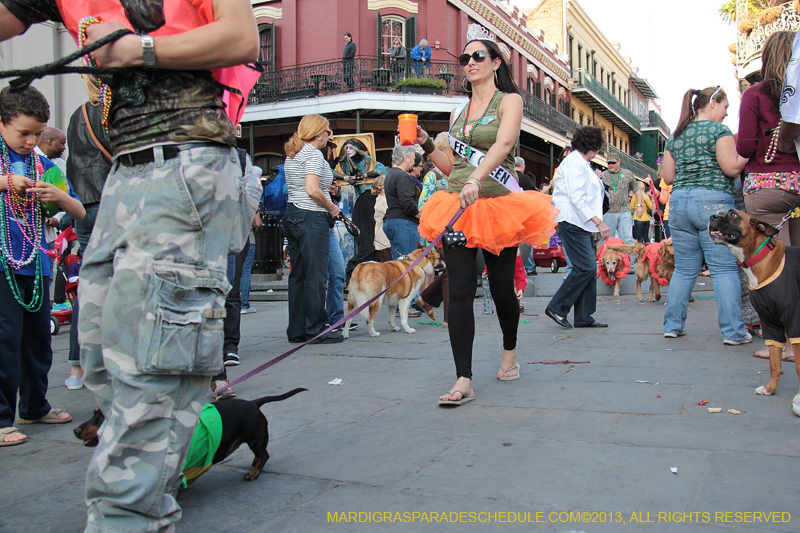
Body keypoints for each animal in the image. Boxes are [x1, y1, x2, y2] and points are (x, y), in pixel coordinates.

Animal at [712, 209, 800, 416]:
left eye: (733, 214)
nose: (711, 217)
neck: (762, 258)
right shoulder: (771, 323)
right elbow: (774, 362)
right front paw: (770, 388)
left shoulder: (794, 324)